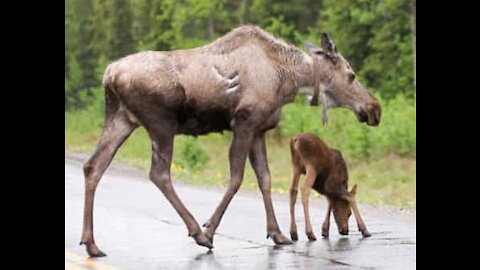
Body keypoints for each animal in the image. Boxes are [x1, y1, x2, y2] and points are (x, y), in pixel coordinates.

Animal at [81, 24, 382, 256]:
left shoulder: (259, 130)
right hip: (161, 123)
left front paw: (277, 233)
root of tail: (109, 74)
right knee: (159, 173)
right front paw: (210, 228)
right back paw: (197, 233)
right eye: (351, 74)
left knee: (93, 166)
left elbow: (265, 179)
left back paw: (91, 243)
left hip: (122, 118)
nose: (374, 108)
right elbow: (237, 178)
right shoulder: (244, 123)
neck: (289, 78)